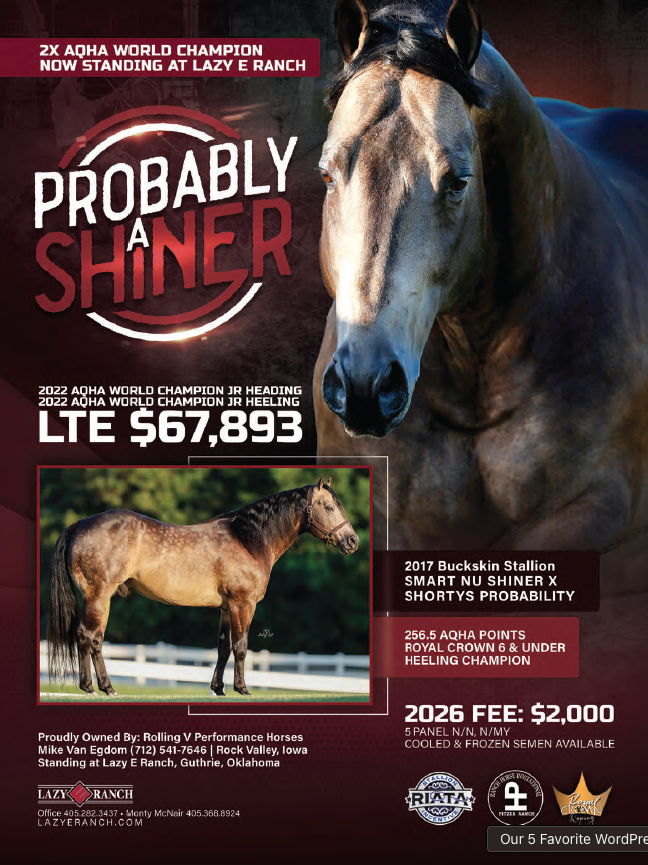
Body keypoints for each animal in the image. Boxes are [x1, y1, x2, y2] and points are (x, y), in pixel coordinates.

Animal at [47, 477, 359, 697]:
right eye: (329, 507)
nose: (352, 541)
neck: (247, 539)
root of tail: (80, 523)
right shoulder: (242, 604)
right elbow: (241, 647)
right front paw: (242, 689)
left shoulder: (226, 608)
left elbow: (222, 648)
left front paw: (218, 688)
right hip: (99, 597)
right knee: (90, 638)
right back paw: (100, 687)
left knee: (87, 638)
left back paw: (95, 686)